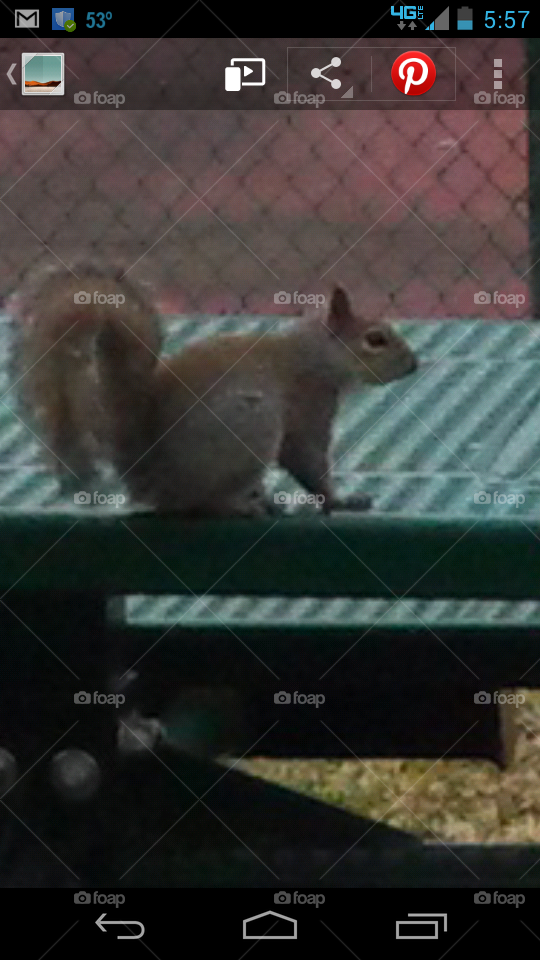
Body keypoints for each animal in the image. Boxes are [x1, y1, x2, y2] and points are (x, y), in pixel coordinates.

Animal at [10, 264, 418, 515]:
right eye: (375, 339)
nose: (414, 364)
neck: (320, 356)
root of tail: (151, 477)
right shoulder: (310, 401)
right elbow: (306, 458)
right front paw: (342, 501)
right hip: (252, 424)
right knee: (199, 503)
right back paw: (240, 505)